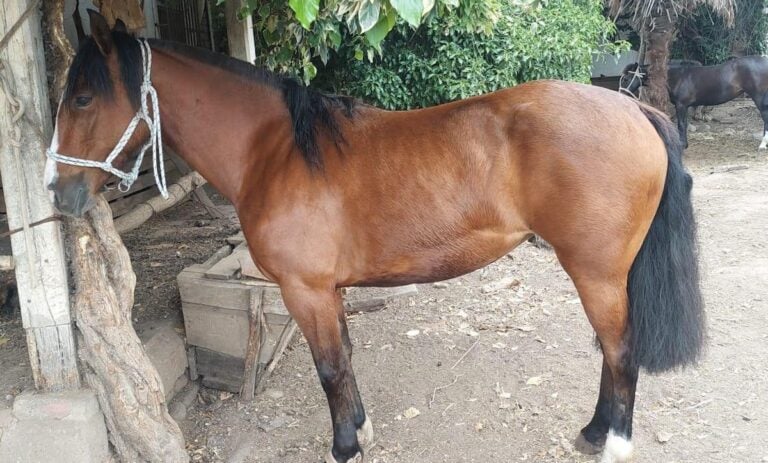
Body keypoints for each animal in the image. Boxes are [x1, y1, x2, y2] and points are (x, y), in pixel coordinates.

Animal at [46, 11, 704, 463]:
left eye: (82, 97)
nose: (59, 192)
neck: (277, 152)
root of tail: (634, 110)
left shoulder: (305, 291)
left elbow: (330, 370)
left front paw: (343, 447)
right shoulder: (328, 292)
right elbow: (346, 361)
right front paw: (359, 431)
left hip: (597, 273)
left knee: (620, 352)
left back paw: (611, 442)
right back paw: (593, 432)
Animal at [620, 57, 768, 150]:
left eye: (626, 78)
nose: (621, 94)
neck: (677, 76)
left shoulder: (681, 106)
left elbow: (680, 125)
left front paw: (681, 145)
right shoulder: (684, 106)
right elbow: (684, 124)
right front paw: (685, 144)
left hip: (759, 98)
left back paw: (762, 144)